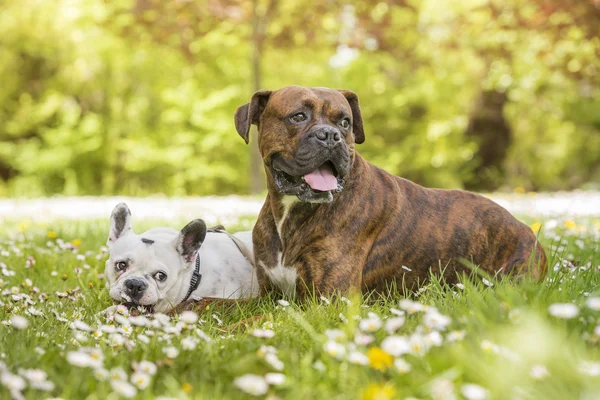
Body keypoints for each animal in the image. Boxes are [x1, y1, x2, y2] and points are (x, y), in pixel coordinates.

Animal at [234, 86, 548, 298]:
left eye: (345, 123)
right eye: (298, 116)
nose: (330, 136)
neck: (290, 212)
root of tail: (527, 231)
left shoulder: (324, 301)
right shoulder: (269, 295)